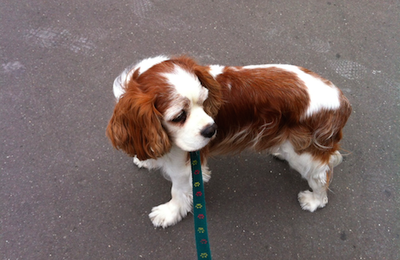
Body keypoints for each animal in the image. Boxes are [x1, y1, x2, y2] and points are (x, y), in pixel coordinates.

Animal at [105, 55, 350, 228]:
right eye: (179, 116)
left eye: (204, 102)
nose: (212, 129)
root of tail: (342, 100)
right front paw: (146, 160)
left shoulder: (185, 167)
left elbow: (178, 192)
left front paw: (169, 213)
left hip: (304, 154)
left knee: (321, 176)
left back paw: (315, 200)